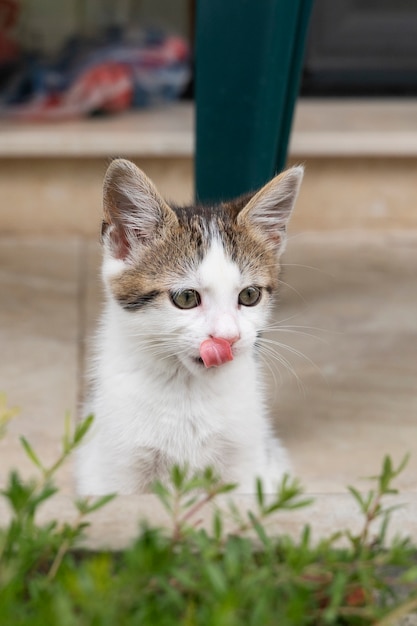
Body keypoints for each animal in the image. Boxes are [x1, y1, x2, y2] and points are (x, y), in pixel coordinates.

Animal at [75, 158, 302, 494]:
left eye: (249, 295)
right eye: (185, 298)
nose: (228, 337)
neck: (188, 393)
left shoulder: (247, 465)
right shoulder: (115, 472)